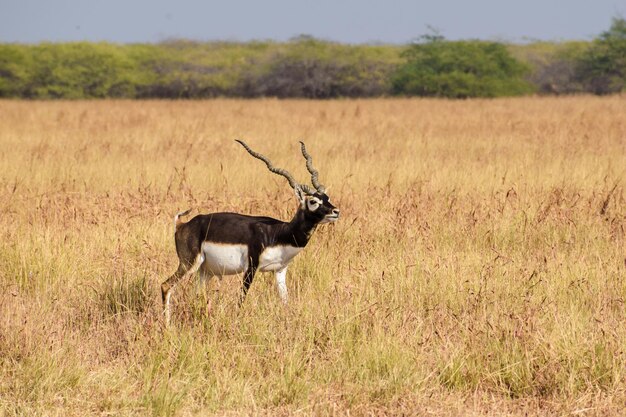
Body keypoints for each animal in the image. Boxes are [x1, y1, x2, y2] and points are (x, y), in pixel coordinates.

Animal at [160, 140, 336, 324]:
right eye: (313, 201)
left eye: (327, 198)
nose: (335, 211)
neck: (279, 233)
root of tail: (182, 225)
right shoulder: (251, 267)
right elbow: (241, 299)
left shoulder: (280, 271)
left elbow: (285, 301)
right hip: (189, 264)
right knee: (165, 286)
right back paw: (168, 326)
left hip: (205, 271)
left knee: (196, 294)